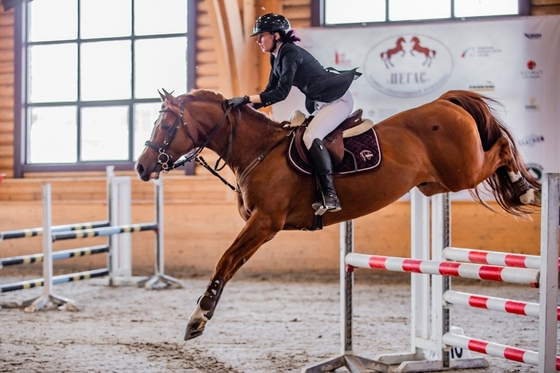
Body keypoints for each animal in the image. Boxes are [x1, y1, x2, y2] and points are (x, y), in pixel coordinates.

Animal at [133, 88, 540, 340]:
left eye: (166, 124)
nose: (141, 167)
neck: (257, 150)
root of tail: (446, 103)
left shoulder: (265, 223)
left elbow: (224, 260)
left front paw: (197, 317)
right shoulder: (260, 227)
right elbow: (231, 265)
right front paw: (201, 318)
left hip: (464, 172)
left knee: (502, 148)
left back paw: (527, 186)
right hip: (435, 185)